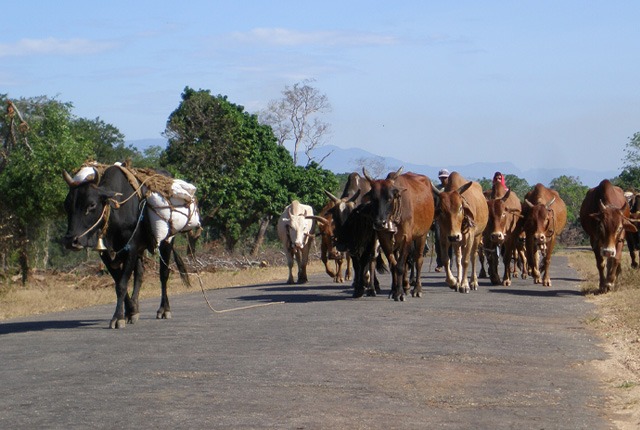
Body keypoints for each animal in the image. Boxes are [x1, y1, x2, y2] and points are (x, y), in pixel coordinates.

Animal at [364, 166, 436, 300]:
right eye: (373, 199)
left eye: (389, 198)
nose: (379, 223)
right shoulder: (384, 240)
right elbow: (393, 265)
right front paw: (395, 291)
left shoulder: (406, 238)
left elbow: (401, 266)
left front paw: (400, 293)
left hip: (421, 235)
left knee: (418, 260)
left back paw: (417, 289)